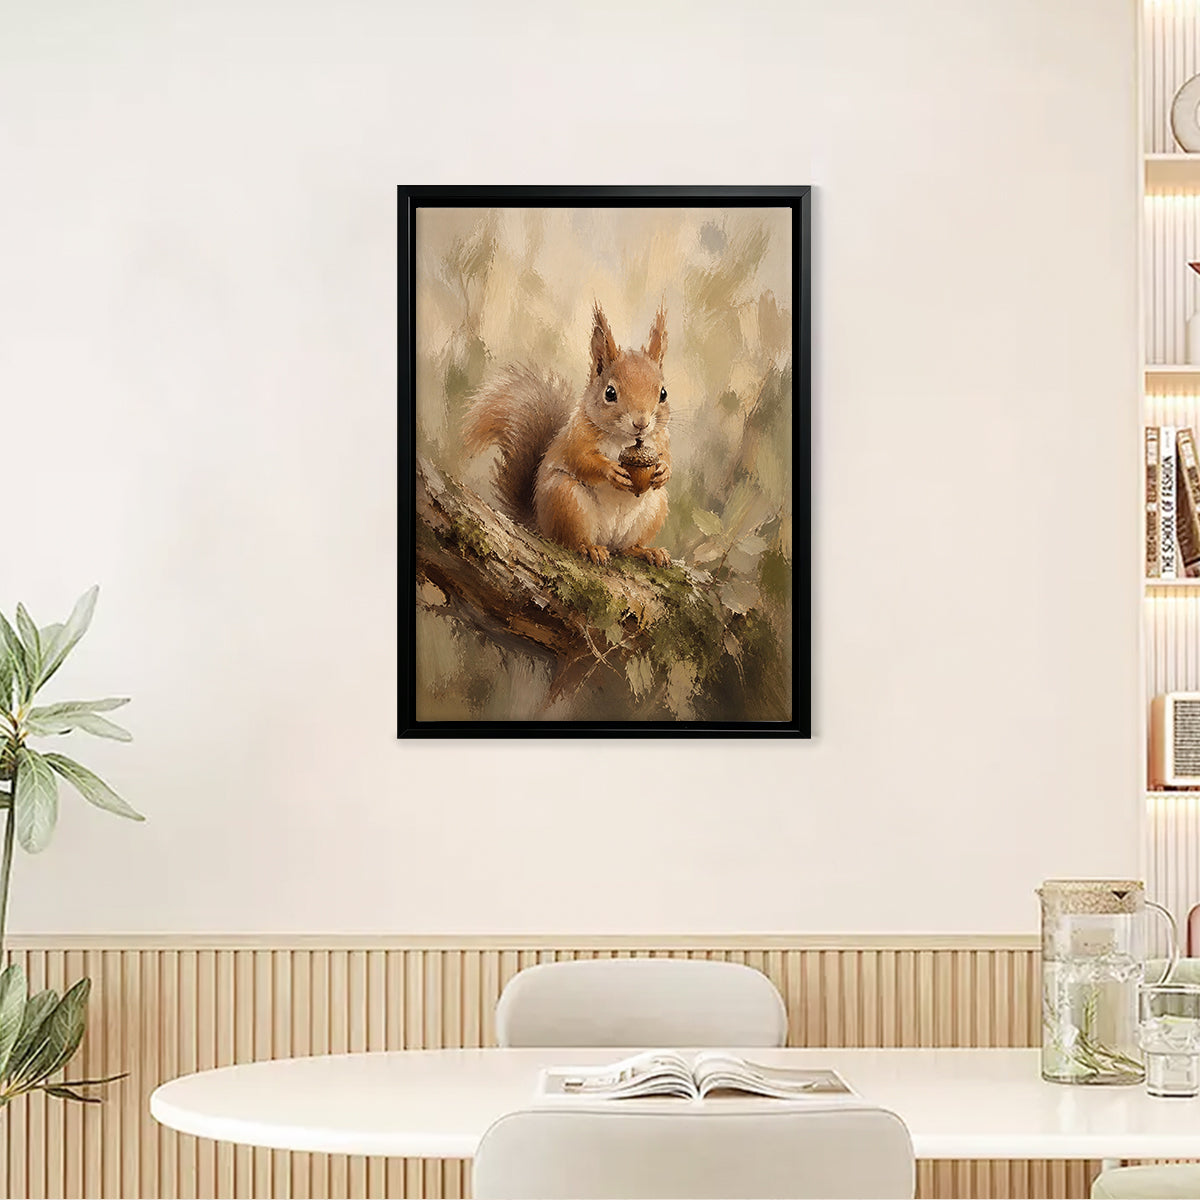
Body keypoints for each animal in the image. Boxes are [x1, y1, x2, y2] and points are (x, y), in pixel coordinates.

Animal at [463, 303, 673, 568]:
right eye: (610, 393)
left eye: (663, 393)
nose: (641, 423)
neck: (624, 440)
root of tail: (540, 524)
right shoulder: (577, 436)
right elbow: (582, 459)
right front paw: (610, 470)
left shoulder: (661, 439)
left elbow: (667, 459)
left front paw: (663, 471)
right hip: (567, 500)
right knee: (570, 541)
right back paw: (590, 548)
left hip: (654, 508)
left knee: (626, 548)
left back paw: (646, 551)